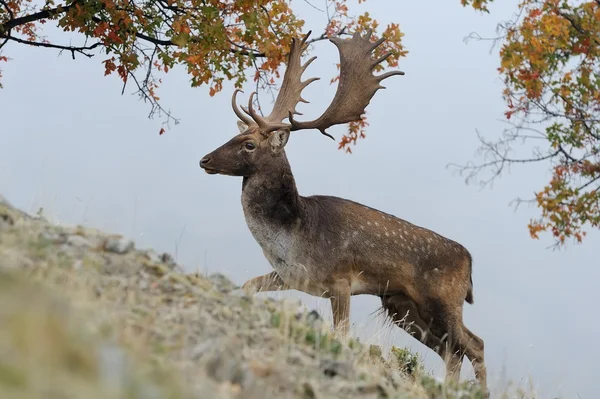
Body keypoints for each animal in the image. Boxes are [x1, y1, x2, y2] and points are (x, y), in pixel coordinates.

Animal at [200, 31, 488, 394]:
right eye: (235, 135)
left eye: (249, 145)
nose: (205, 159)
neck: (292, 235)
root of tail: (470, 262)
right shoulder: (290, 276)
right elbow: (247, 286)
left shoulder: (340, 279)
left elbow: (341, 333)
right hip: (402, 307)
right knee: (452, 350)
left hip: (442, 300)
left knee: (474, 344)